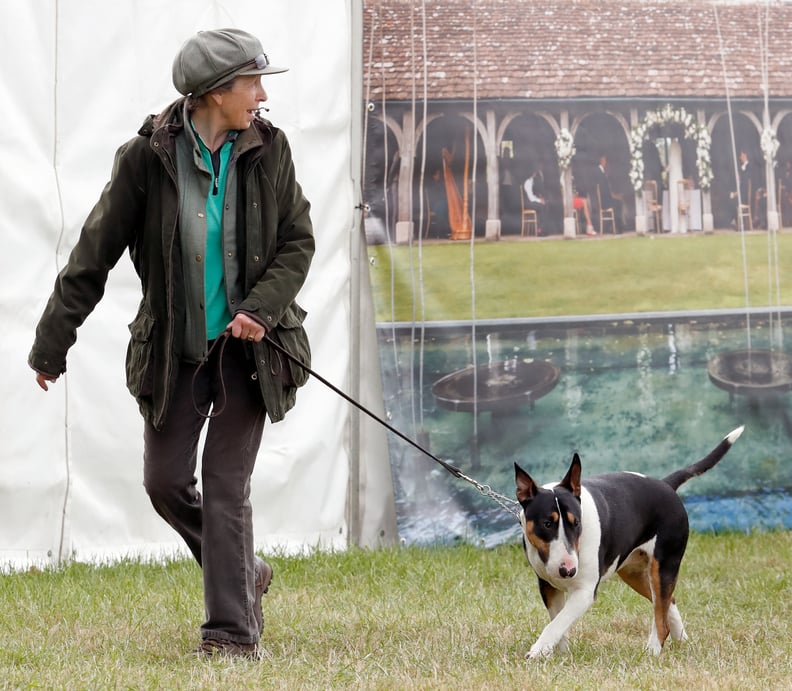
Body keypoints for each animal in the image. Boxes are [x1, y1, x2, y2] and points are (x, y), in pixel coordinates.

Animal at [512, 428, 744, 660]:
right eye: (547, 523)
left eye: (576, 522)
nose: (568, 570)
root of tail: (666, 484)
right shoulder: (548, 586)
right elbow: (558, 621)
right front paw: (559, 654)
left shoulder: (585, 590)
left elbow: (558, 622)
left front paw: (538, 651)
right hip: (634, 573)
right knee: (668, 601)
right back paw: (682, 639)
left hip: (664, 564)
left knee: (662, 617)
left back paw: (652, 651)